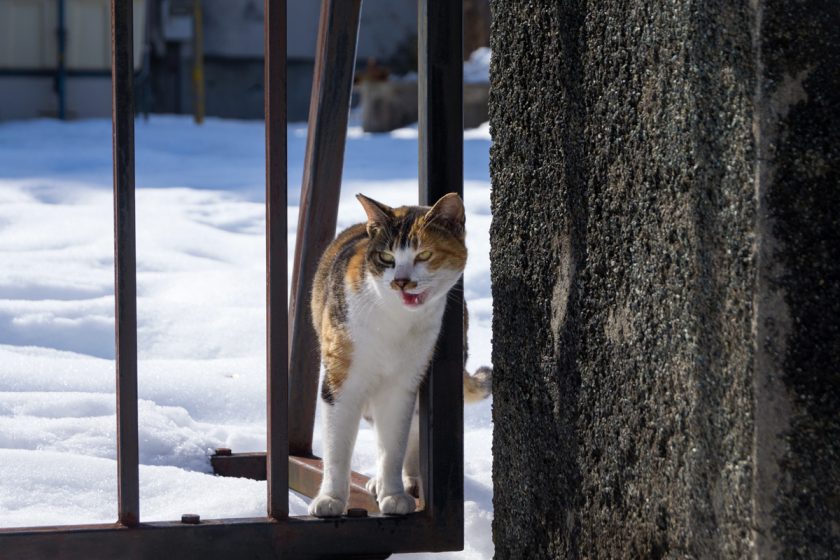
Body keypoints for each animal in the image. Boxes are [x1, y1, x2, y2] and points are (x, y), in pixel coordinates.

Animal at [308, 192, 492, 516]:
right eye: (386, 258)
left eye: (424, 255)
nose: (401, 281)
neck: (394, 322)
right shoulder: (342, 378)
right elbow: (337, 446)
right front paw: (330, 499)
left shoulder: (404, 382)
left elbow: (394, 444)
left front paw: (393, 494)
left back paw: (405, 481)